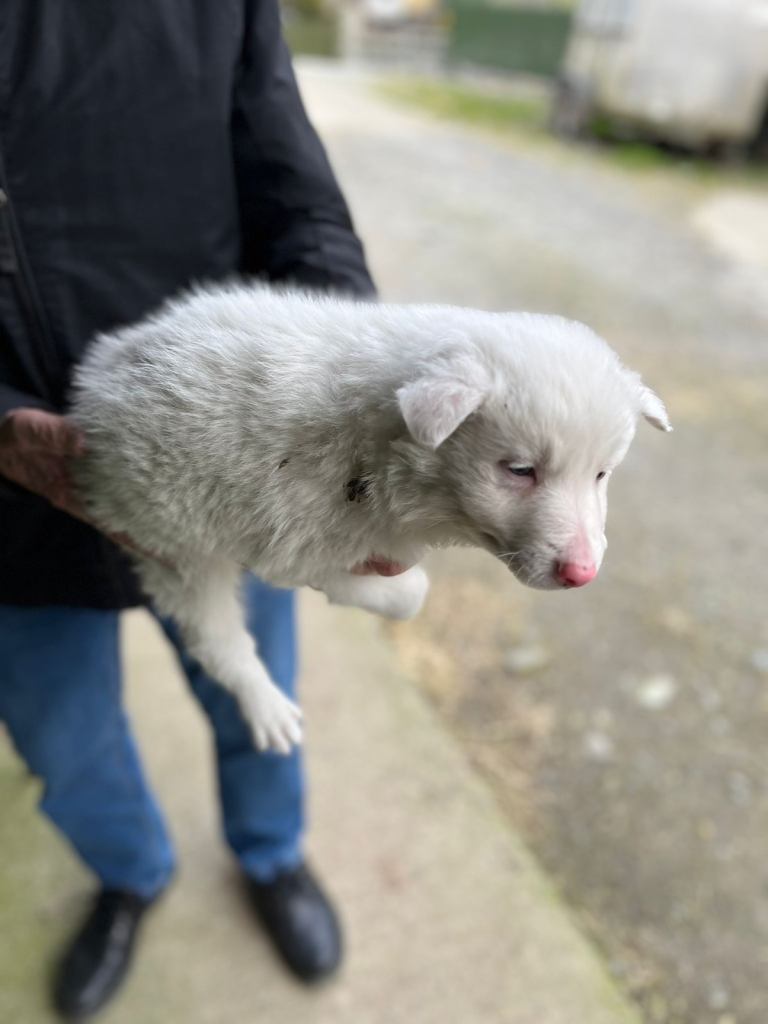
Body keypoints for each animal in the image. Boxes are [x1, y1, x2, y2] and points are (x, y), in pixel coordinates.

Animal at [70, 284, 671, 753]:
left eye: (601, 474)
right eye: (520, 470)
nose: (582, 573)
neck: (379, 441)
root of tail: (94, 387)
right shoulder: (291, 535)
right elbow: (396, 591)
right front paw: (397, 586)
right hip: (174, 539)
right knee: (215, 635)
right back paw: (267, 706)